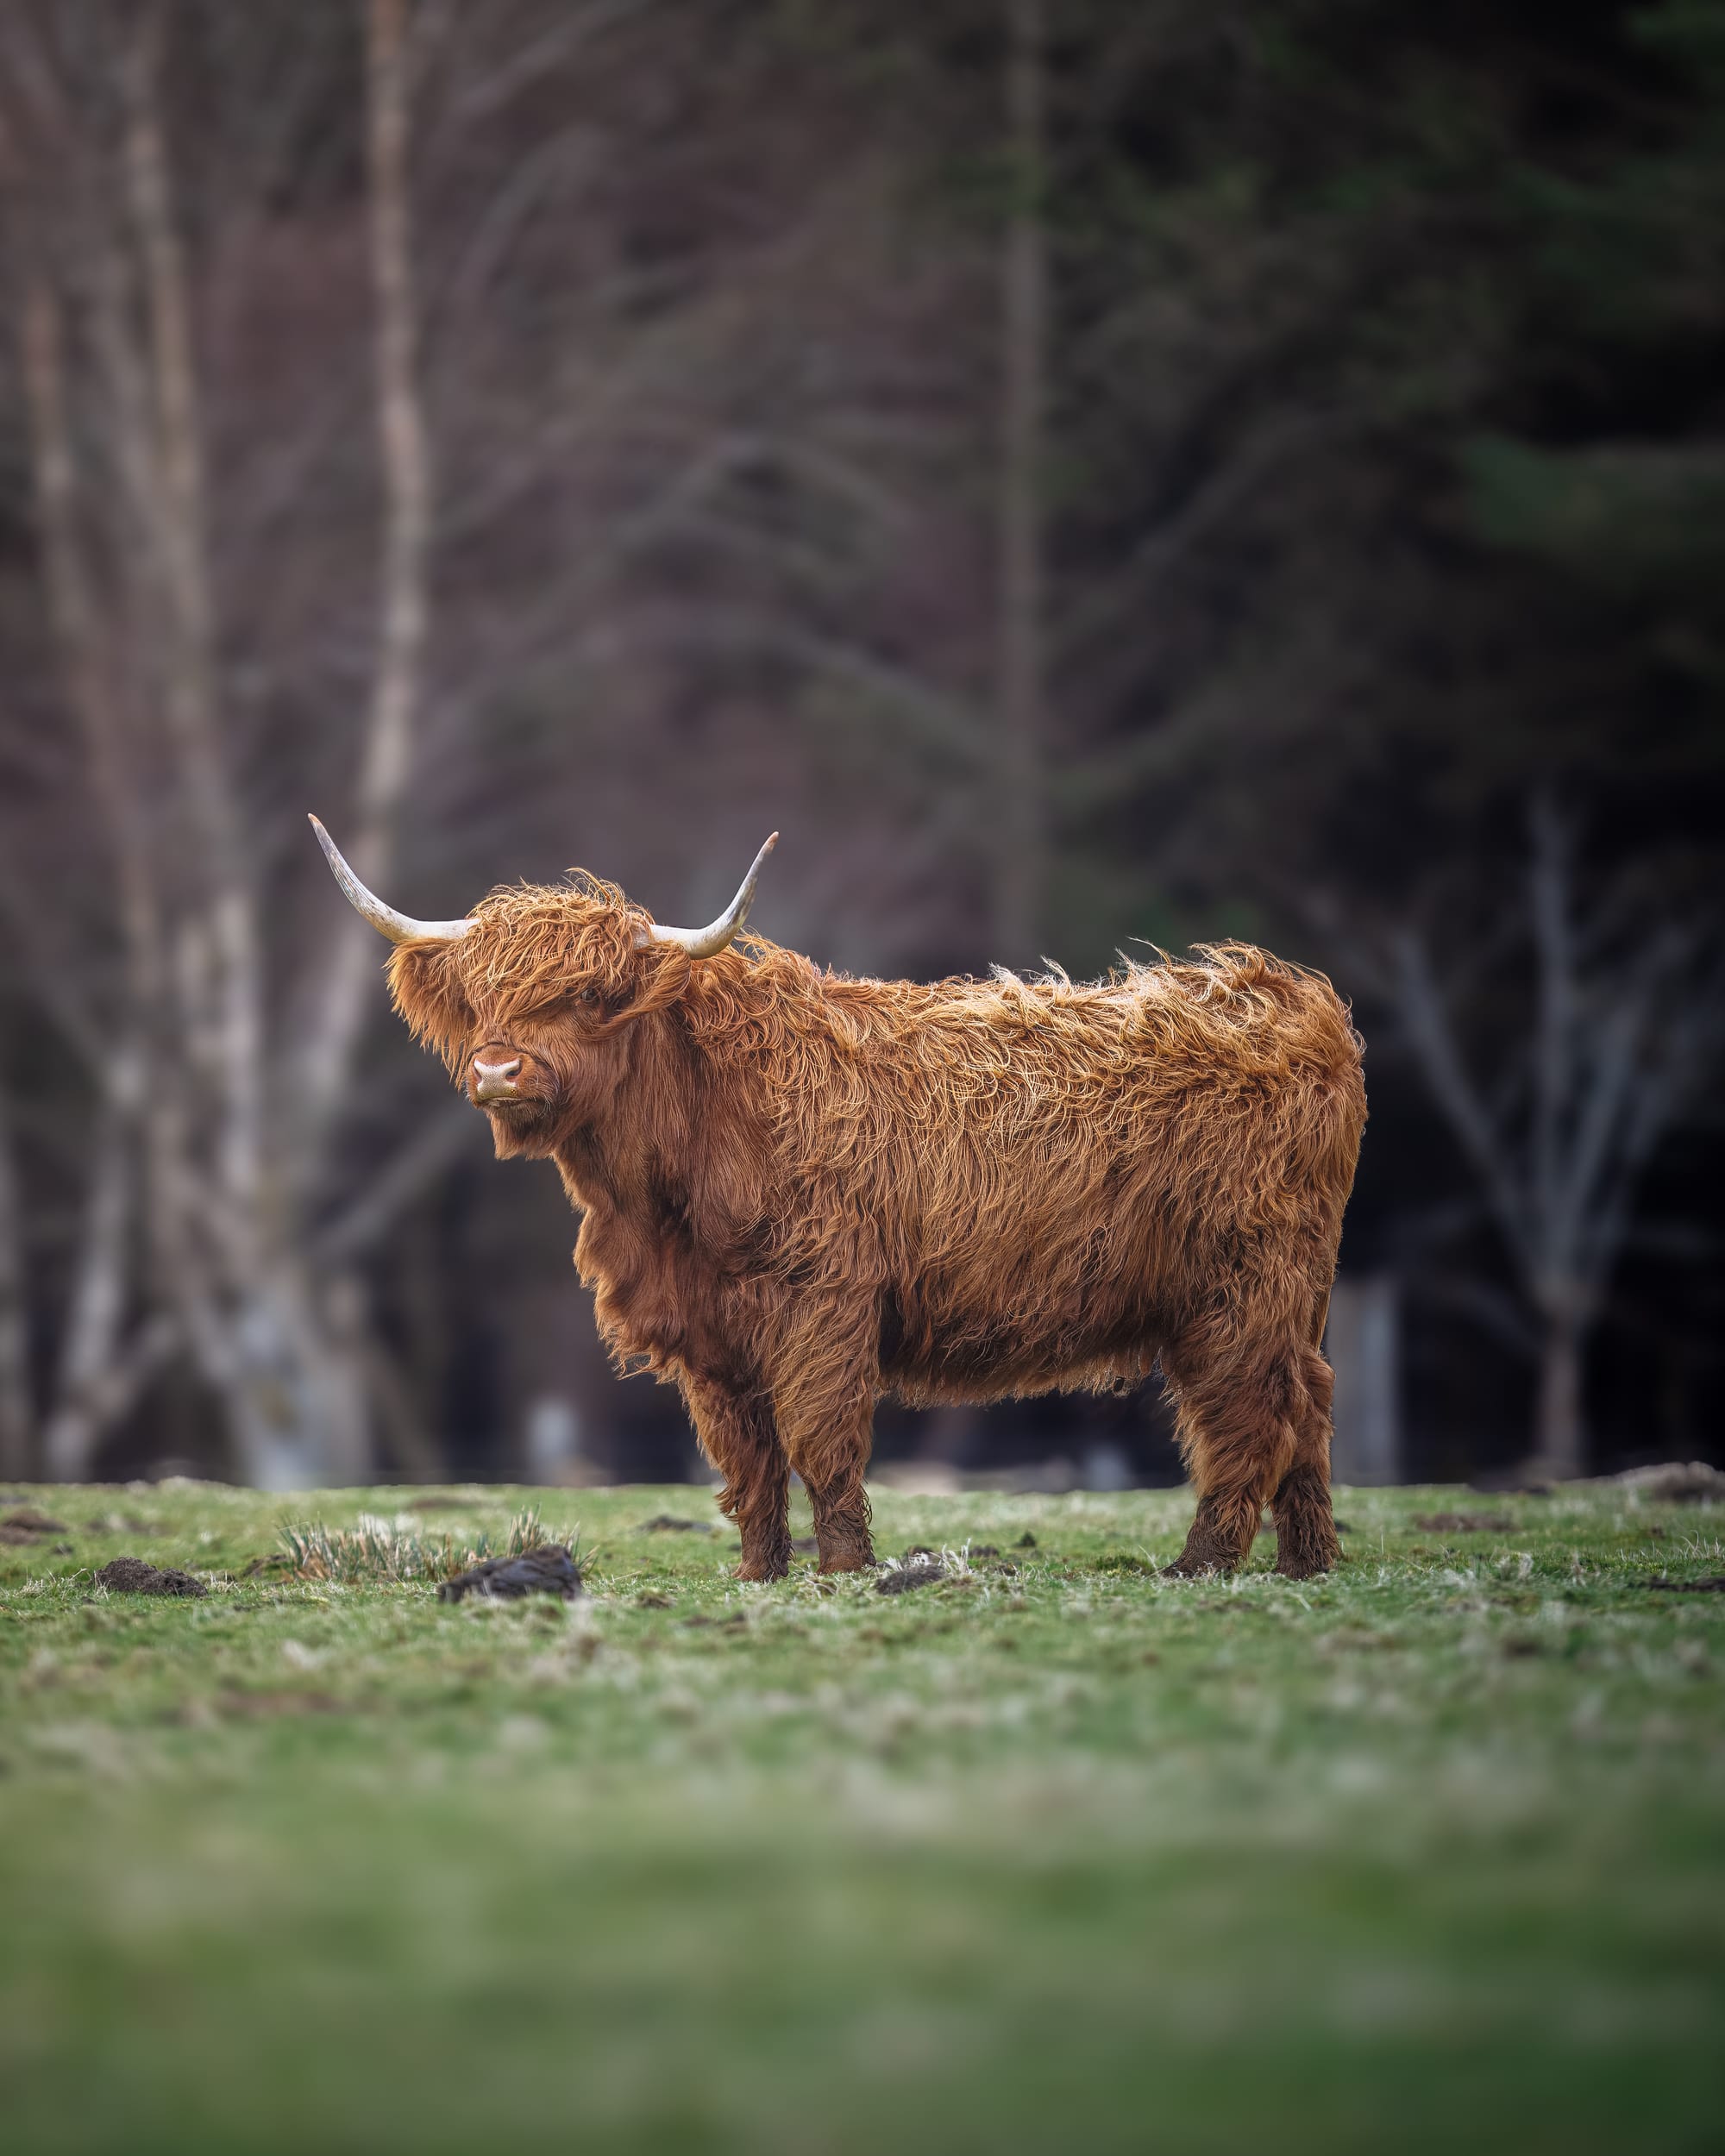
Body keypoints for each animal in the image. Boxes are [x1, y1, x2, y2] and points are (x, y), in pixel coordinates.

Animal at [313, 819, 1366, 1581]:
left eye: (589, 995)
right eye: (482, 998)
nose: (496, 1069)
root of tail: (1290, 996)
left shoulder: (821, 1299)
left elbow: (820, 1441)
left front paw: (844, 1572)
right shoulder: (709, 1331)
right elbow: (747, 1464)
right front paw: (759, 1575)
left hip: (1238, 1288)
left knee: (1248, 1418)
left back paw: (1202, 1566)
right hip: (1290, 1295)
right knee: (1310, 1406)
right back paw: (1306, 1564)